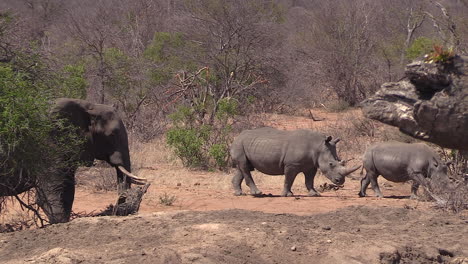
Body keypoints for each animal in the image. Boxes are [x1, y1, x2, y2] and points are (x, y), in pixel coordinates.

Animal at [0, 98, 146, 224]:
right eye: (113, 134)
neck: (87, 107)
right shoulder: (47, 141)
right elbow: (49, 191)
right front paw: (59, 221)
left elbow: (68, 188)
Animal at [230, 127, 362, 197]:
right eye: (331, 164)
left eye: (340, 161)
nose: (340, 181)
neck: (318, 146)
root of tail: (237, 136)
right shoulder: (291, 164)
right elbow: (289, 179)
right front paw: (287, 195)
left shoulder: (311, 165)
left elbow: (309, 180)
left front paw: (314, 194)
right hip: (239, 144)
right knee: (244, 166)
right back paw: (257, 193)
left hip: (246, 145)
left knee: (243, 167)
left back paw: (239, 194)